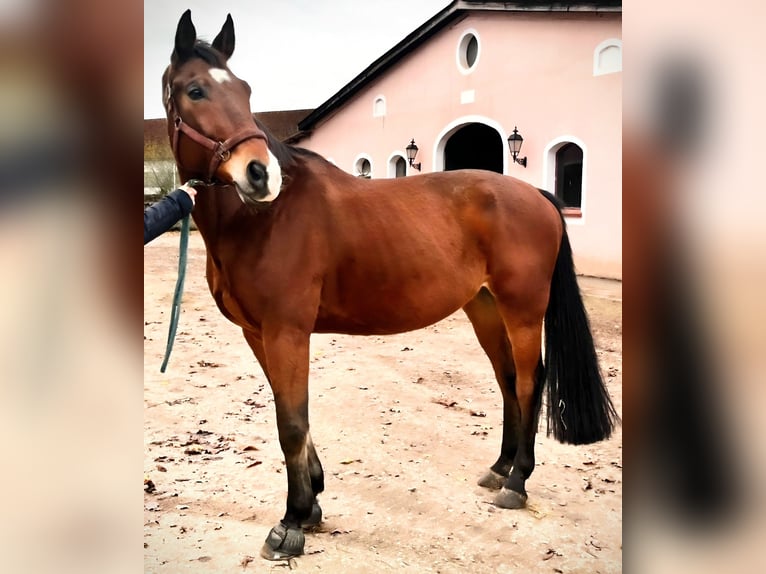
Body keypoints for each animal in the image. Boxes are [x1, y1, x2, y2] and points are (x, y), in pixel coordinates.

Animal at [160, 11, 616, 564]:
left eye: (244, 91)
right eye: (196, 90)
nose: (260, 174)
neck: (262, 220)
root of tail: (538, 194)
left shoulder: (287, 330)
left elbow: (291, 421)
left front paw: (291, 522)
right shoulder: (259, 332)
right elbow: (293, 415)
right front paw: (312, 503)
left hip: (523, 310)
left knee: (531, 381)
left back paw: (518, 482)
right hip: (484, 308)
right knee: (507, 379)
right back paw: (501, 468)